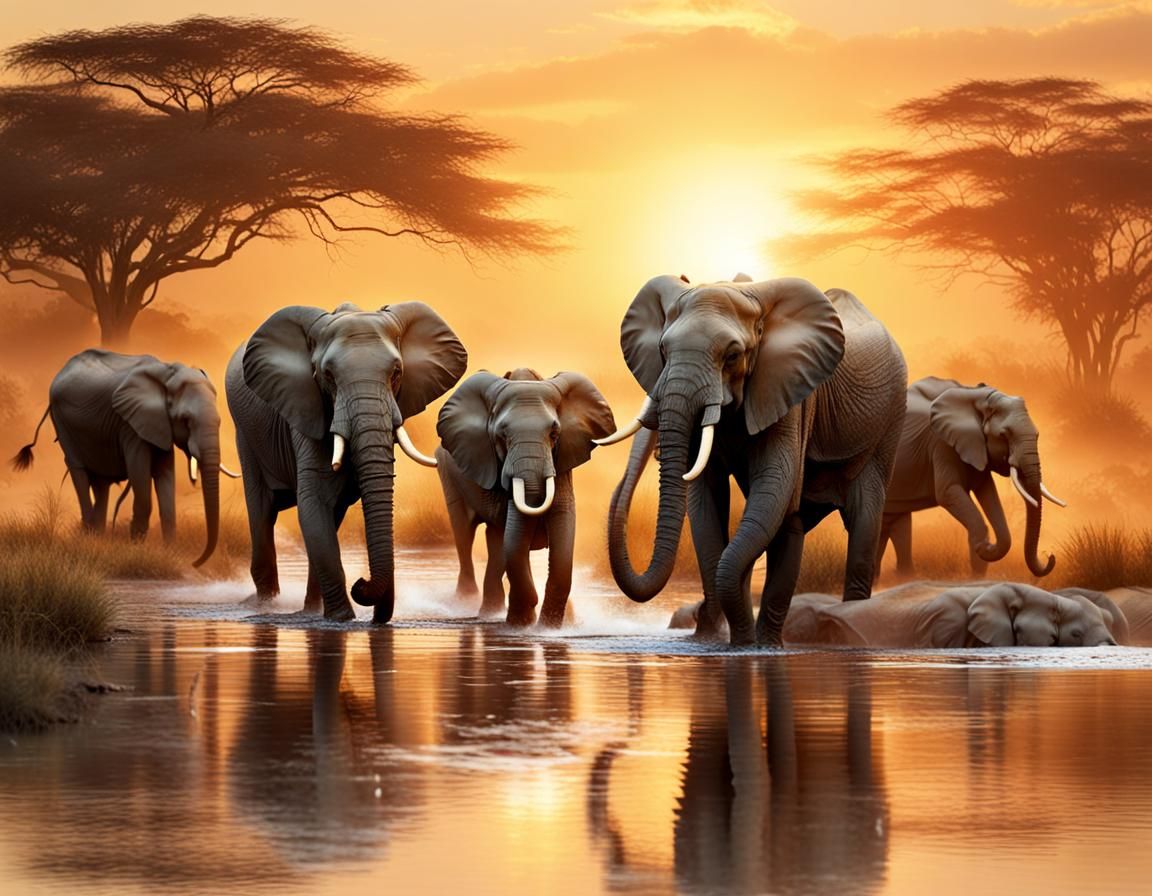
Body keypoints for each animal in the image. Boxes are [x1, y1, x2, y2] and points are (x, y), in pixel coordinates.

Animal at [12, 349, 233, 565]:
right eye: (186, 420)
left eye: (219, 421)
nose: (196, 562)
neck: (166, 373)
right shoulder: (131, 425)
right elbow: (140, 474)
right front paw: (136, 548)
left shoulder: (159, 424)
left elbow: (165, 476)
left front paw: (171, 553)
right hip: (62, 420)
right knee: (78, 471)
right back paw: (89, 538)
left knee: (101, 484)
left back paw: (98, 539)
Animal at [225, 301, 467, 622]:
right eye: (327, 376)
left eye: (397, 373)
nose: (361, 582)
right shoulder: (307, 408)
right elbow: (314, 501)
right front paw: (342, 619)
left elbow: (328, 511)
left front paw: (335, 616)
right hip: (246, 432)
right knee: (262, 509)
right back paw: (268, 605)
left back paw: (310, 609)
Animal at [435, 368, 615, 626]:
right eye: (502, 435)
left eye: (554, 433)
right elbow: (514, 536)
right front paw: (524, 622)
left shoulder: (562, 457)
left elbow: (562, 516)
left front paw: (549, 628)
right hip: (448, 476)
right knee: (465, 531)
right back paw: (477, 608)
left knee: (495, 537)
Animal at [600, 274, 908, 646]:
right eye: (662, 350)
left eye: (732, 356)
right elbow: (708, 504)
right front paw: (723, 642)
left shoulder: (788, 393)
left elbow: (773, 487)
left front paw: (749, 645)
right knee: (786, 522)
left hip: (890, 421)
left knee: (860, 519)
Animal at [878, 376, 1065, 579]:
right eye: (1004, 435)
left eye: (1037, 434)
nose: (1050, 556)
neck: (978, 397)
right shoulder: (941, 444)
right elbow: (947, 492)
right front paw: (983, 546)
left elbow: (988, 493)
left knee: (894, 524)